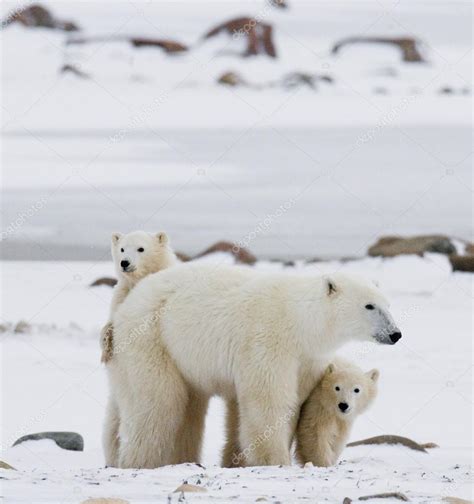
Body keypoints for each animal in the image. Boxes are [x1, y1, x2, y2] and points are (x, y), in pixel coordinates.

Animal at [101, 230, 178, 466]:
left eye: (141, 248)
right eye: (122, 248)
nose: (125, 263)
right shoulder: (121, 296)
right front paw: (105, 343)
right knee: (111, 431)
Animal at [110, 264, 400, 468]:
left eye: (388, 304)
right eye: (369, 305)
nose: (395, 334)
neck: (301, 322)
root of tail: (130, 302)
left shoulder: (307, 359)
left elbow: (295, 401)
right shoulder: (269, 341)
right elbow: (269, 401)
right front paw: (275, 460)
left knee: (189, 404)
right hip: (153, 337)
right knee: (158, 401)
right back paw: (141, 461)